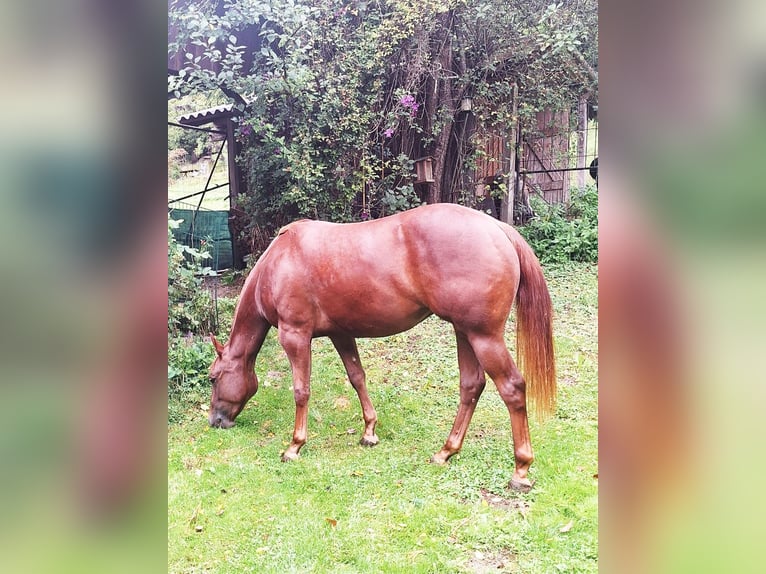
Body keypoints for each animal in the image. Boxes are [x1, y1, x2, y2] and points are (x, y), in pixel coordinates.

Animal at [207, 203, 556, 491]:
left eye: (212, 378)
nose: (216, 421)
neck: (278, 262)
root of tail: (497, 228)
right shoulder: (341, 334)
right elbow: (357, 378)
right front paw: (369, 432)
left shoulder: (295, 336)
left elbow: (301, 390)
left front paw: (295, 446)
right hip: (465, 333)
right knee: (471, 386)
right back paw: (445, 452)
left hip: (484, 336)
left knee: (512, 387)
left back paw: (520, 470)